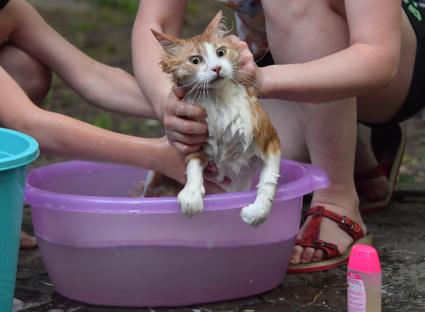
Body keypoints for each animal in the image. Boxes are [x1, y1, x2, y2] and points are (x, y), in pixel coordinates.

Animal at [146, 10, 282, 227]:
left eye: (221, 52)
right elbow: (193, 164)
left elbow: (269, 179)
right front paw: (191, 195)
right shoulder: (192, 136)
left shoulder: (270, 139)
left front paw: (258, 212)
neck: (219, 100)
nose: (216, 68)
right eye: (195, 60)